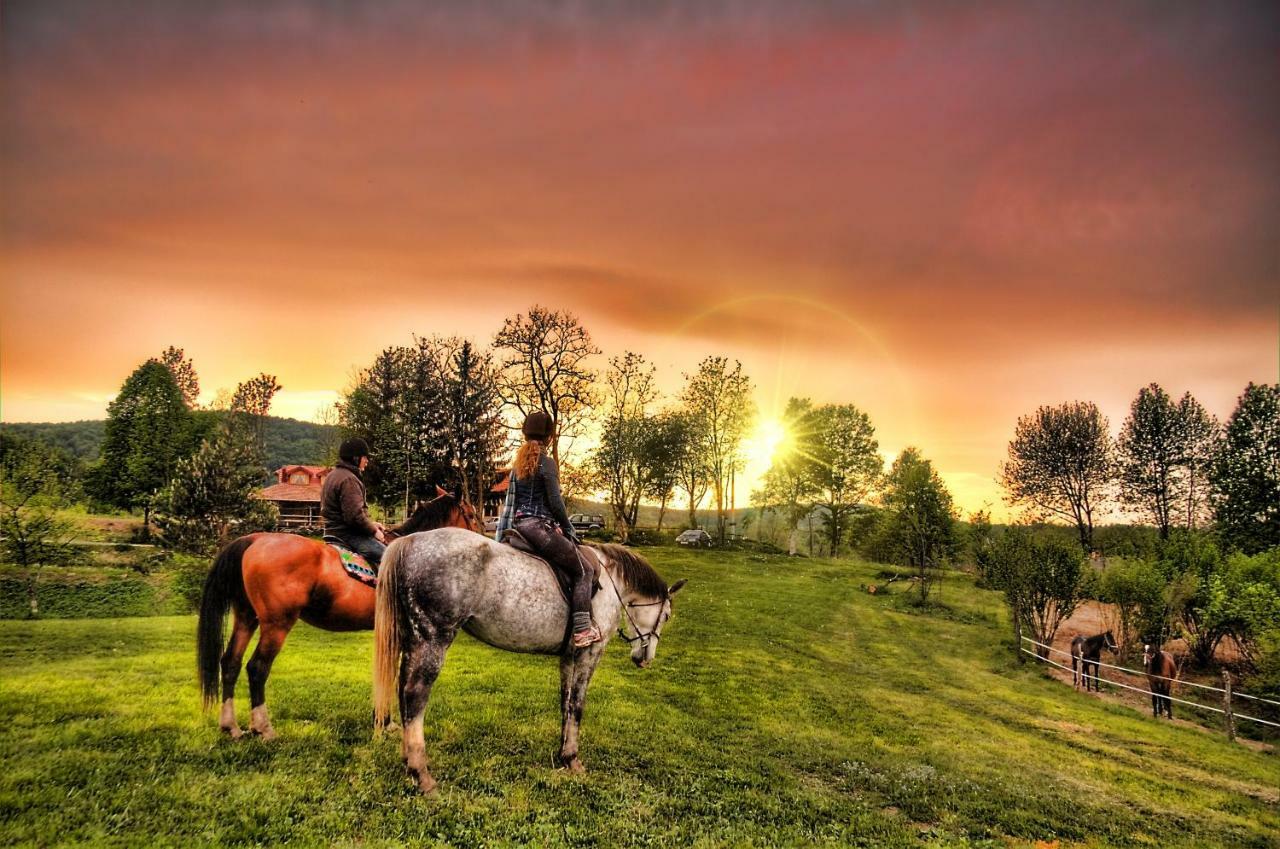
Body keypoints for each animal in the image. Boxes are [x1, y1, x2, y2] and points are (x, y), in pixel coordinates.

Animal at [194, 489, 481, 742]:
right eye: (472, 514)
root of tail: (254, 540)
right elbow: (394, 676)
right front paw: (387, 723)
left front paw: (384, 722)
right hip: (276, 624)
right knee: (257, 668)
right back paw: (263, 728)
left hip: (246, 617)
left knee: (230, 662)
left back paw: (231, 726)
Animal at [373, 532, 686, 799]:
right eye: (667, 616)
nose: (646, 658)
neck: (611, 582)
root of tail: (409, 541)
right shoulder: (589, 653)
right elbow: (578, 705)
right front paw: (573, 759)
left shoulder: (569, 656)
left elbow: (565, 702)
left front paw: (563, 754)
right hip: (434, 638)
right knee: (415, 695)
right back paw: (422, 775)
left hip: (413, 638)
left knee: (402, 692)